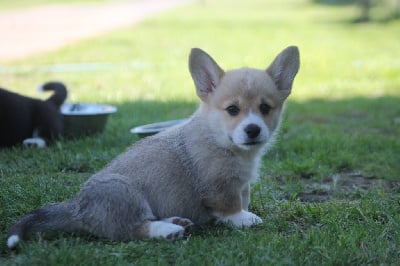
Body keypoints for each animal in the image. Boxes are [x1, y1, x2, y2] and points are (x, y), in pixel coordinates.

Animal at [7, 45, 300, 247]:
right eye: (232, 110)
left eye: (265, 108)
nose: (253, 130)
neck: (220, 139)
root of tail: (78, 208)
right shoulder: (219, 185)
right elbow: (231, 205)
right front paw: (243, 218)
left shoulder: (241, 183)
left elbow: (243, 196)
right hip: (125, 193)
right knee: (132, 229)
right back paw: (167, 230)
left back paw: (174, 221)